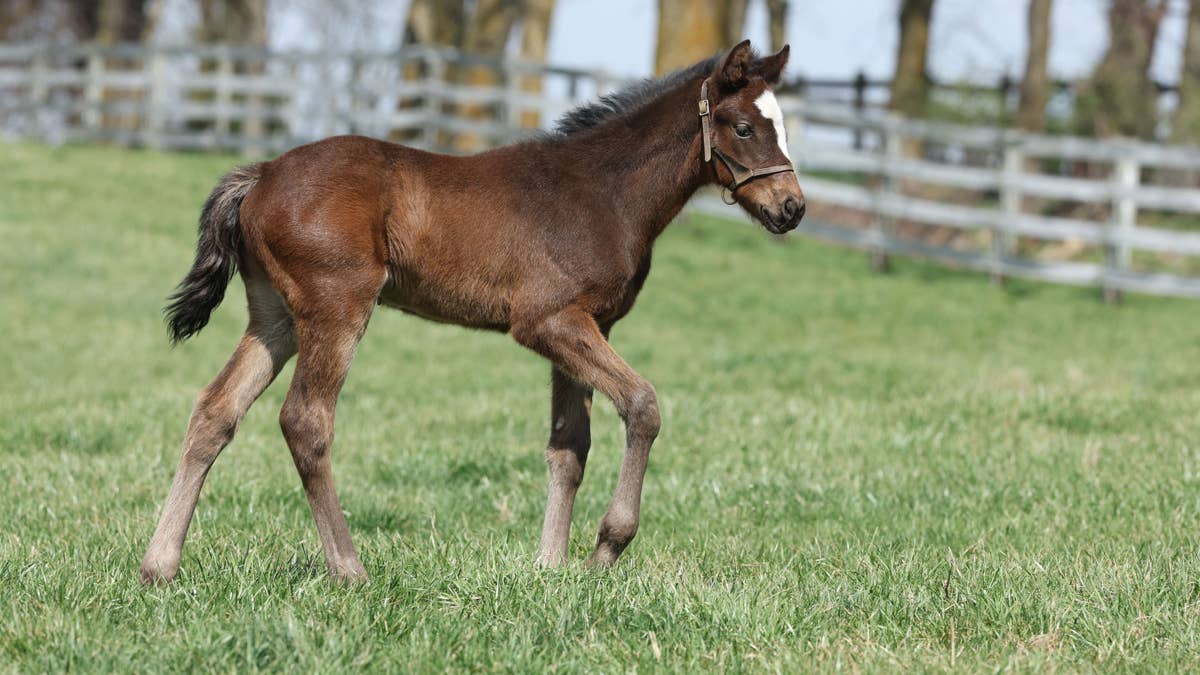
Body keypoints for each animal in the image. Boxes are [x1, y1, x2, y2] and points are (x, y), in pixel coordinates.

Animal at [139, 39, 805, 584]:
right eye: (744, 127)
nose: (793, 207)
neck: (604, 193)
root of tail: (260, 174)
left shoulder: (587, 325)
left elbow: (570, 444)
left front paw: (548, 567)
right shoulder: (548, 321)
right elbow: (642, 405)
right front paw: (605, 549)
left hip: (275, 317)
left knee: (216, 410)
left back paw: (159, 566)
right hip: (336, 307)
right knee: (305, 421)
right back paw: (350, 570)